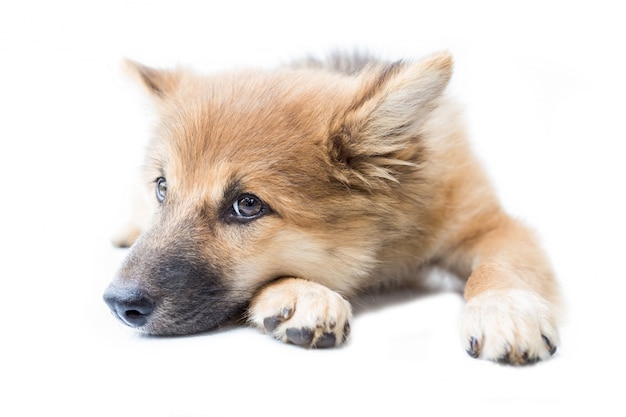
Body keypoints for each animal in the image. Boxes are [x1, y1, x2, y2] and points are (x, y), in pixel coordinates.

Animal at [103, 52, 560, 364]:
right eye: (163, 188)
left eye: (247, 205)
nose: (117, 304)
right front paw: (299, 293)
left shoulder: (490, 223)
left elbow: (501, 265)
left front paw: (504, 308)